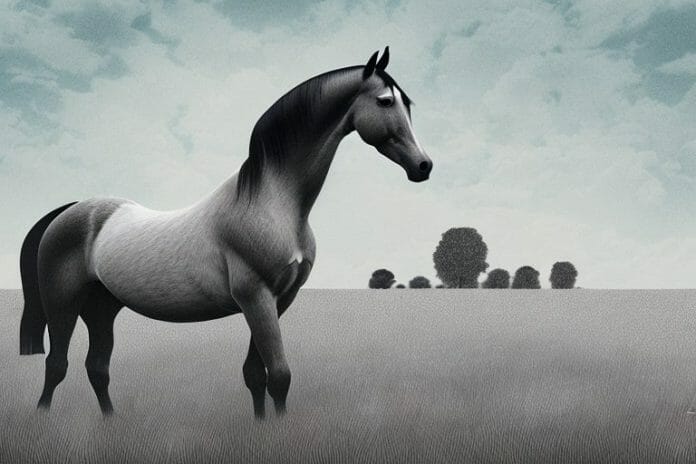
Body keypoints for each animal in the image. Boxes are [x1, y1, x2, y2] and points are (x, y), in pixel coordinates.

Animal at [18, 47, 432, 418]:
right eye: (384, 101)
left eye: (408, 104)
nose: (423, 166)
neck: (270, 201)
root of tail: (71, 211)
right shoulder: (255, 296)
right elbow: (279, 375)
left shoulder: (279, 299)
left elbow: (256, 375)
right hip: (64, 304)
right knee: (57, 364)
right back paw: (42, 420)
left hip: (102, 309)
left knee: (97, 368)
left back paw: (110, 423)